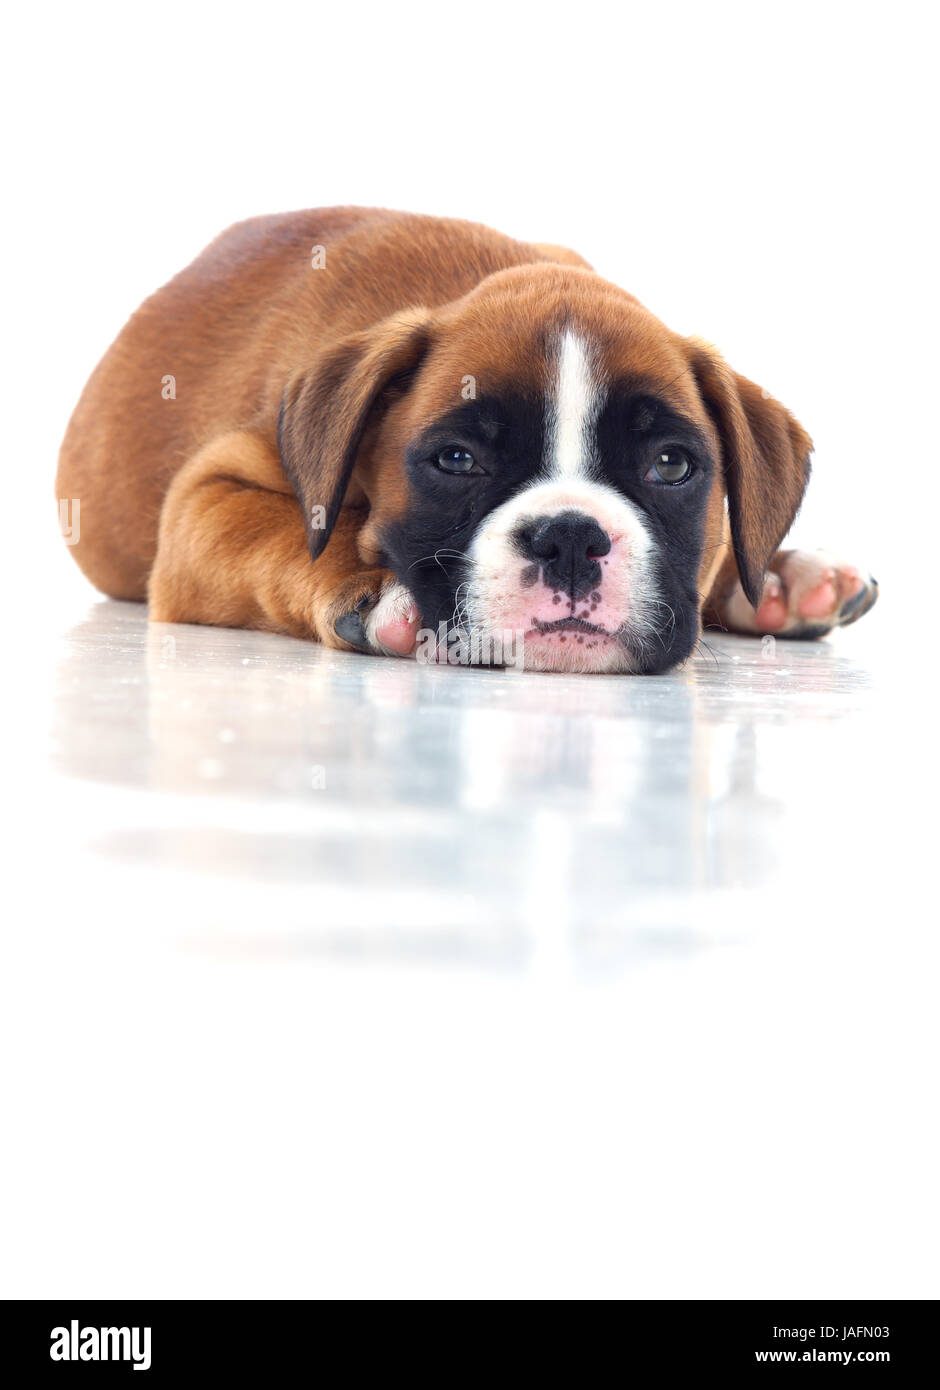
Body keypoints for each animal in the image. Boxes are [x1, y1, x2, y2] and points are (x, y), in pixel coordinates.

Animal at [58, 207, 878, 678]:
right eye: (457, 460)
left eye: (671, 465)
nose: (570, 538)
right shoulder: (203, 503)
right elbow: (290, 533)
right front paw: (376, 590)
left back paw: (783, 581)